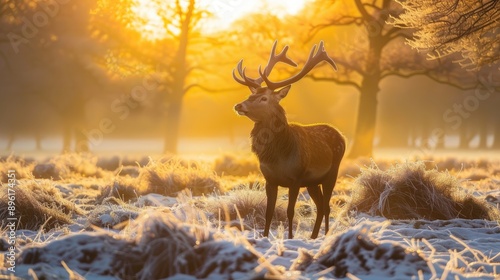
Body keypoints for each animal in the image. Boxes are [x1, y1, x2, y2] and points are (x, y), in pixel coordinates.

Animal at [233, 41, 344, 238]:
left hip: (332, 173)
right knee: (320, 206)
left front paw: (291, 237)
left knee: (327, 206)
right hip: (313, 182)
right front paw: (265, 236)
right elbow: (269, 212)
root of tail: (342, 136)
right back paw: (313, 236)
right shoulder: (270, 180)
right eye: (250, 95)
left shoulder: (296, 178)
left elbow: (290, 212)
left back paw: (325, 235)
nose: (239, 105)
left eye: (264, 98)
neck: (279, 155)